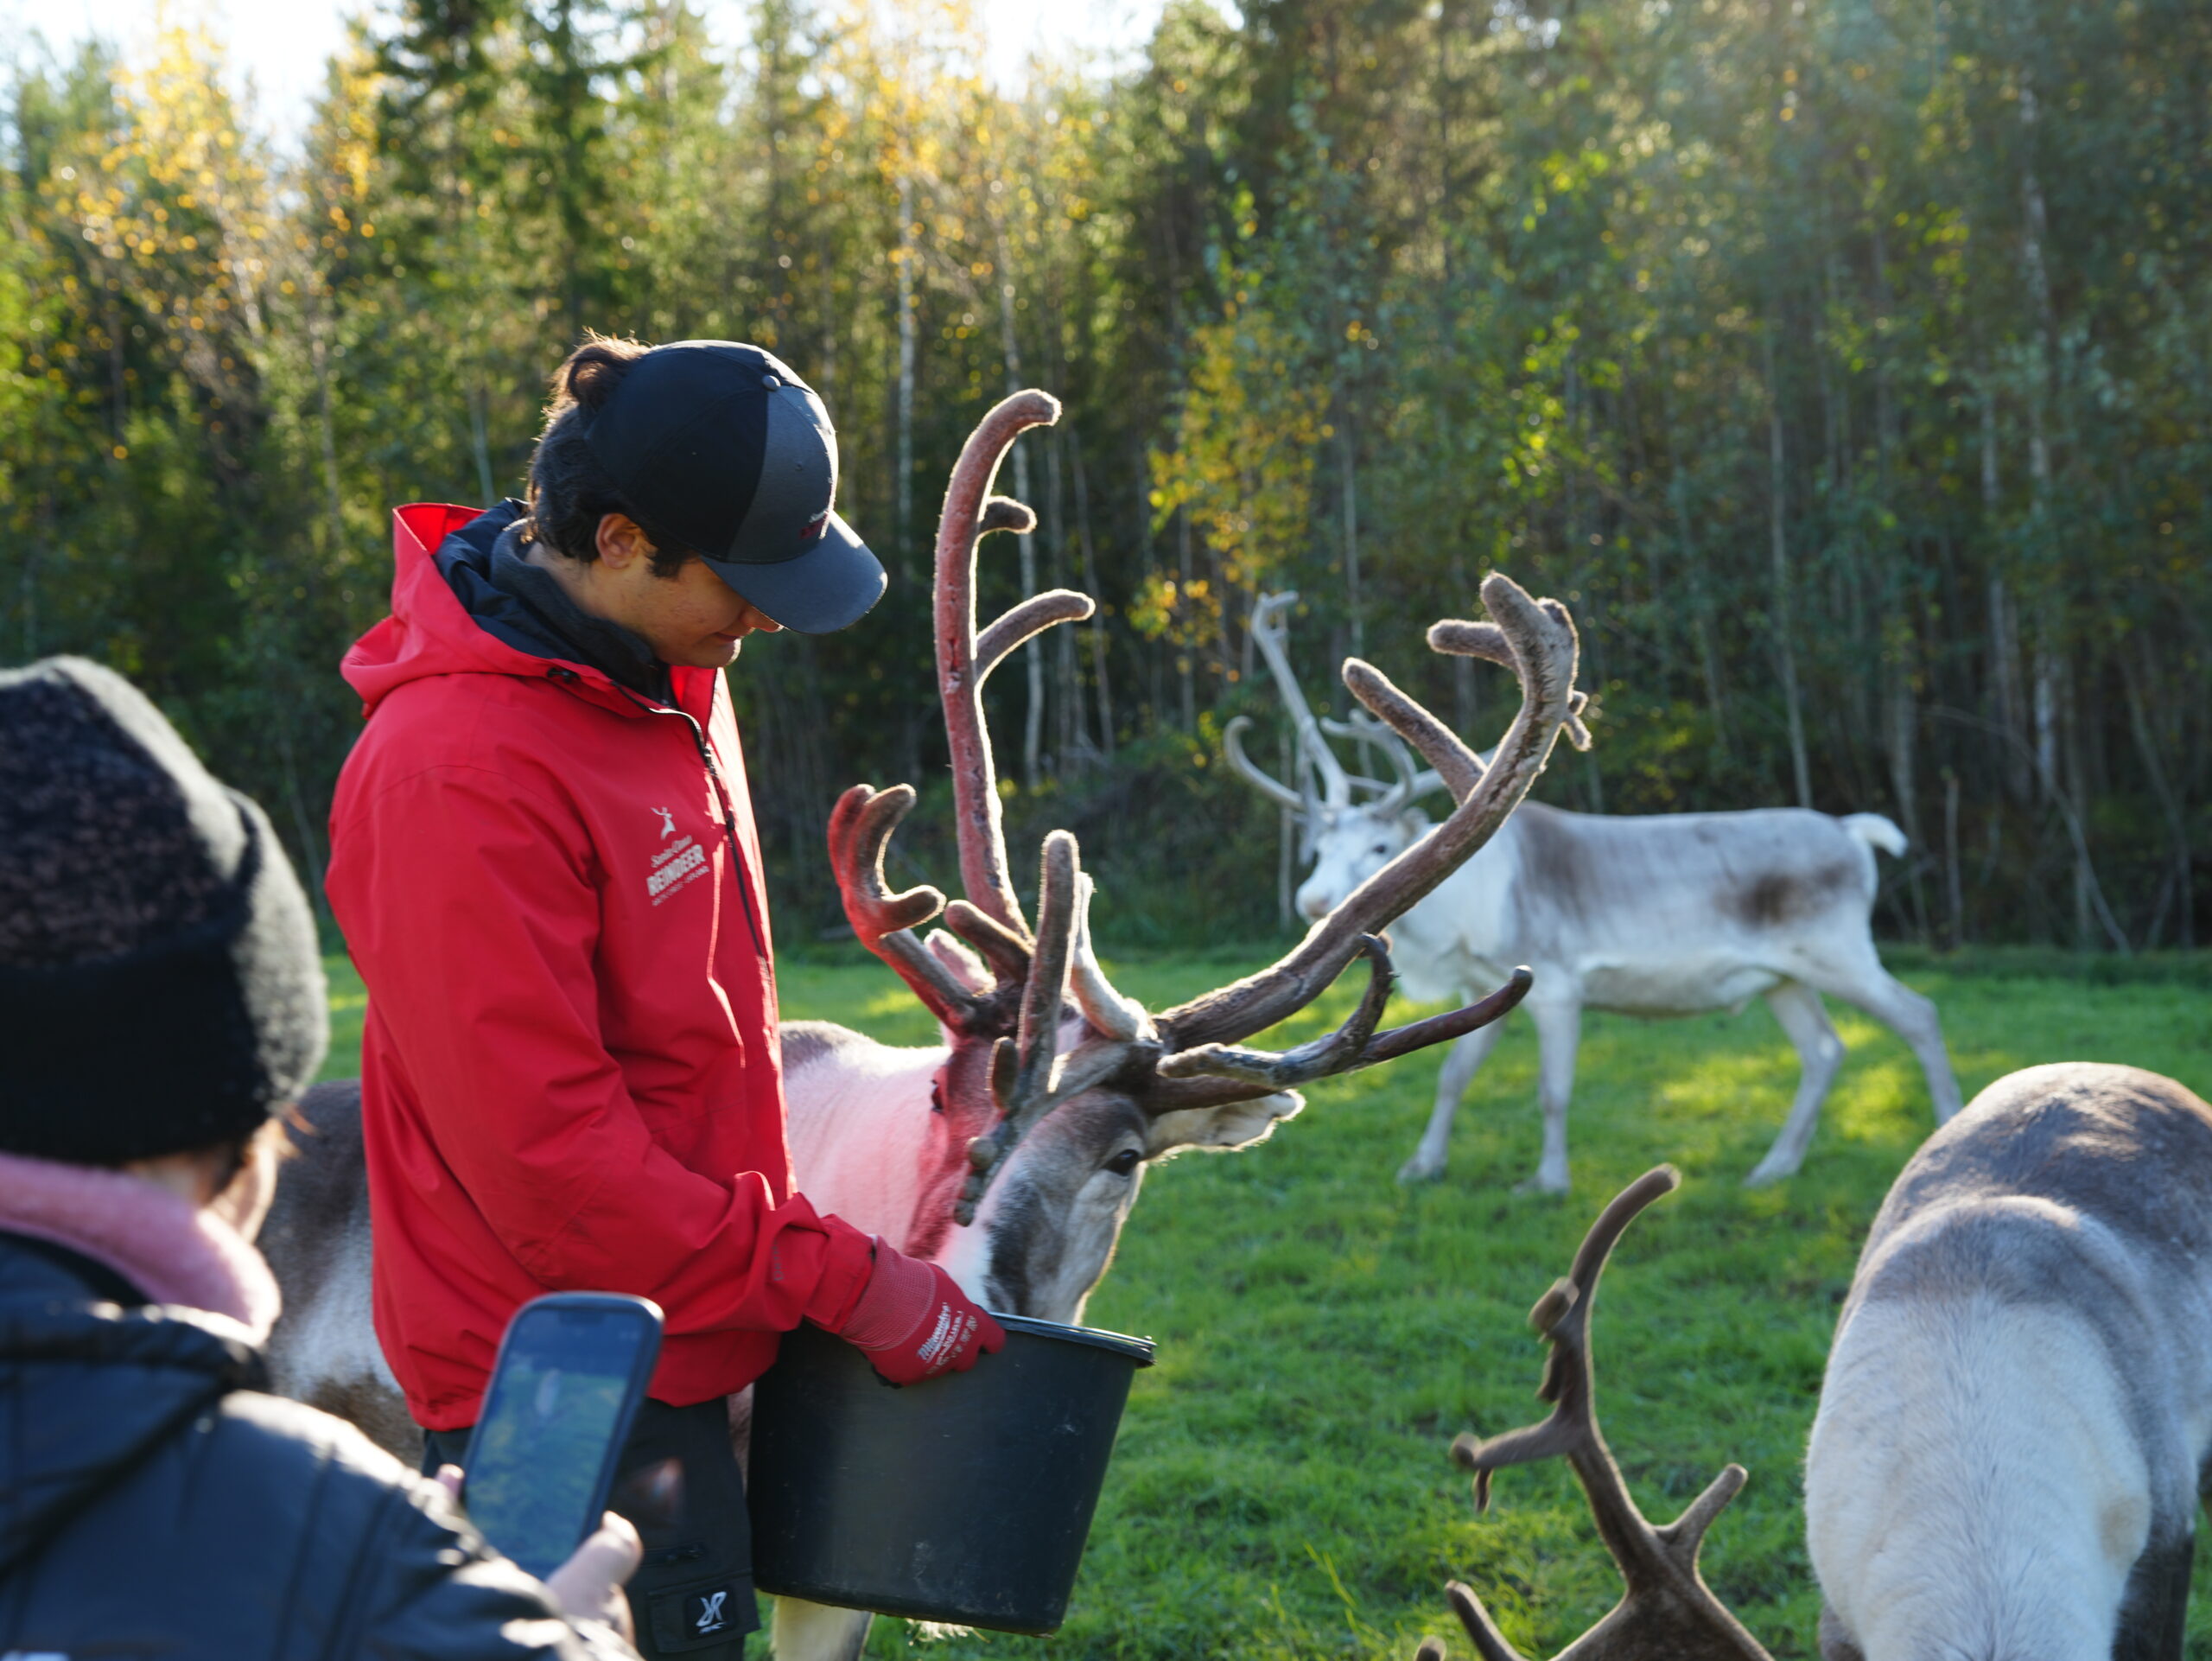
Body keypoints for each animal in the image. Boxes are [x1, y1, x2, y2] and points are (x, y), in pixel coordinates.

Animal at [1225, 591, 1962, 1193]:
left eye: (1380, 848)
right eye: (1319, 846)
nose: (1313, 901)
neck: (1455, 927)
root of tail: (1854, 833)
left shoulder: (1556, 982)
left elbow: (1554, 1090)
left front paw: (1549, 1180)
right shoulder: (1481, 986)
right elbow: (1451, 1076)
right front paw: (1422, 1164)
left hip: (1837, 950)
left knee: (1920, 1014)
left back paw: (1945, 1125)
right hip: (1783, 976)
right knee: (1825, 1050)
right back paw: (1773, 1168)